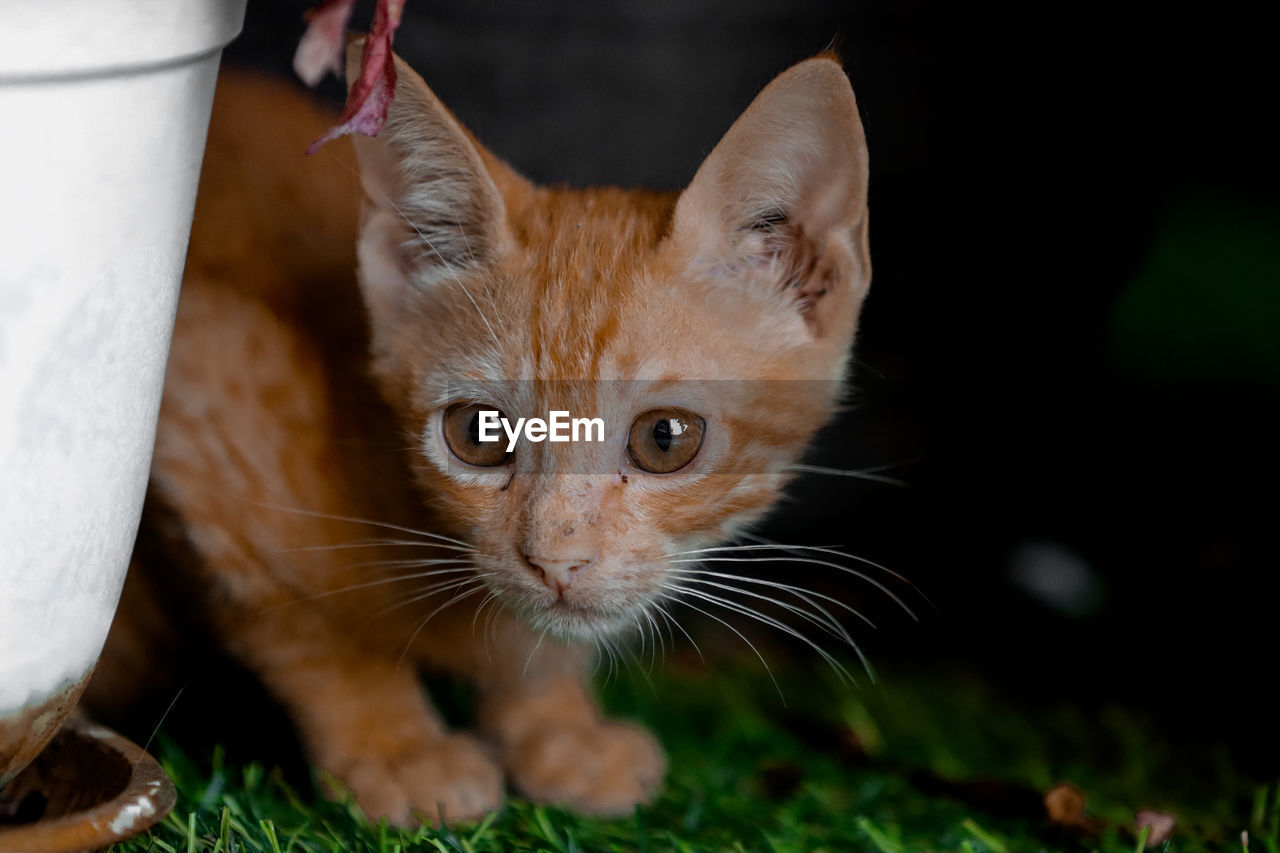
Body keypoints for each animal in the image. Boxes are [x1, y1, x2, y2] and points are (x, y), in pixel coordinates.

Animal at [90, 43, 870, 819]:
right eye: (478, 432)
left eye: (665, 439)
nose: (556, 561)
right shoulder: (192, 383)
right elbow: (307, 630)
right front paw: (396, 746)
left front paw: (554, 723)